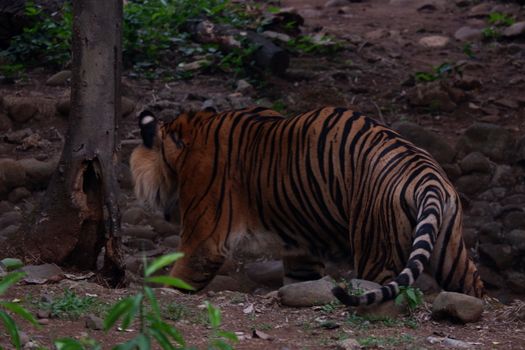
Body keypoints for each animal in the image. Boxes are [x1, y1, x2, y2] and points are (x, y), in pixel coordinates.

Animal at [130, 106, 484, 306]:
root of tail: (428, 177)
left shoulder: (205, 238)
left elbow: (180, 274)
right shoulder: (303, 247)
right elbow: (301, 279)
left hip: (376, 250)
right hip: (450, 252)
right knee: (472, 285)